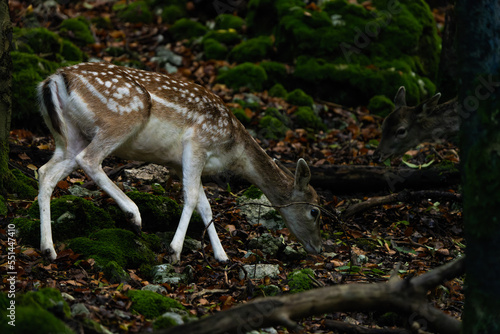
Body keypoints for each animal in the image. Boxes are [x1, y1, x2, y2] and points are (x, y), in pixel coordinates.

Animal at [37, 61, 322, 262]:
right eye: (314, 211)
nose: (319, 247)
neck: (233, 149)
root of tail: (54, 79)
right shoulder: (198, 143)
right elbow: (192, 198)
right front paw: (175, 251)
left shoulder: (180, 162)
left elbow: (205, 205)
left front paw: (222, 256)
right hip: (121, 117)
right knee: (89, 159)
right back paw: (134, 214)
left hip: (70, 136)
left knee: (45, 171)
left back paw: (48, 249)